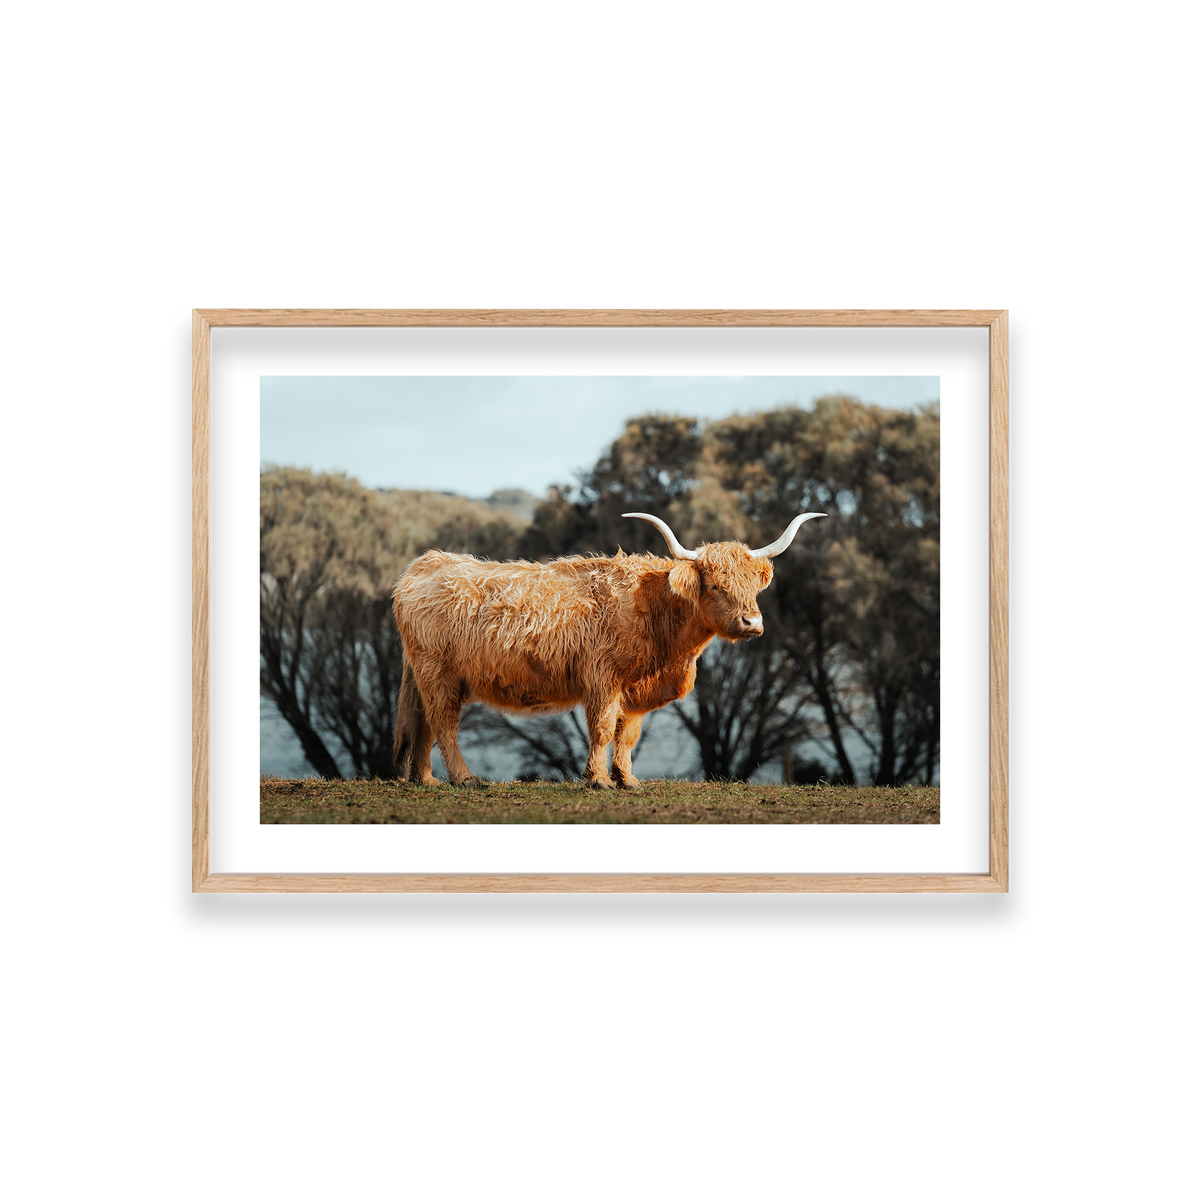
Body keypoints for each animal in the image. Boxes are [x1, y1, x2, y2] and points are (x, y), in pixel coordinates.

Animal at [391, 510, 826, 790]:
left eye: (753, 586)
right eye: (716, 586)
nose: (752, 623)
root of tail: (426, 563)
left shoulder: (634, 688)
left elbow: (628, 734)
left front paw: (628, 779)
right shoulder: (603, 678)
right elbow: (601, 729)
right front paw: (598, 780)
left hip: (429, 675)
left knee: (424, 724)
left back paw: (426, 779)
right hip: (438, 673)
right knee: (443, 723)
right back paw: (464, 779)